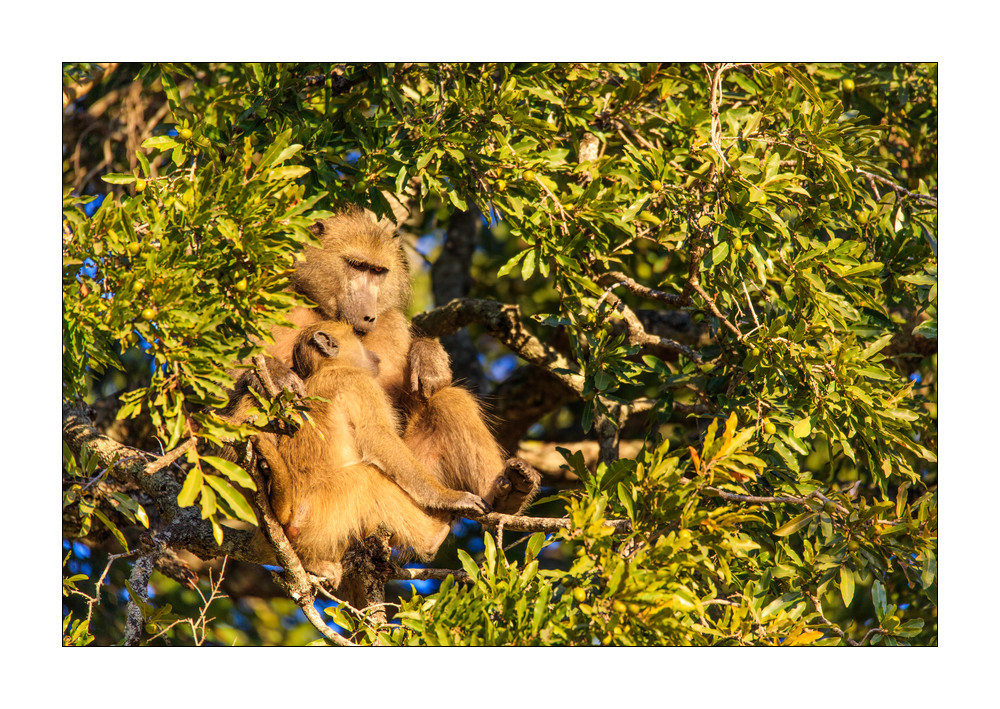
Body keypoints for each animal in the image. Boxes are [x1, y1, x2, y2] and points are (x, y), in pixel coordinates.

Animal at [252, 321, 488, 586]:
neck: (329, 368)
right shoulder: (358, 382)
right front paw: (450, 498)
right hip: (324, 509)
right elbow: (379, 438)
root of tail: (289, 510)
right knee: (368, 479)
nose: (374, 355)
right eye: (358, 340)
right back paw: (433, 538)